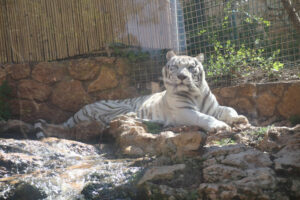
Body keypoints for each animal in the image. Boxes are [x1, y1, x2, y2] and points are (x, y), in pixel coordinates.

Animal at [34, 50, 248, 138]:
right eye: (176, 67)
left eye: (190, 67)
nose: (182, 77)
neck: (194, 92)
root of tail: (79, 111)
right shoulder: (184, 111)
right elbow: (203, 117)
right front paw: (219, 125)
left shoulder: (214, 107)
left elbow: (229, 109)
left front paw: (240, 118)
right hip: (117, 107)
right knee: (111, 120)